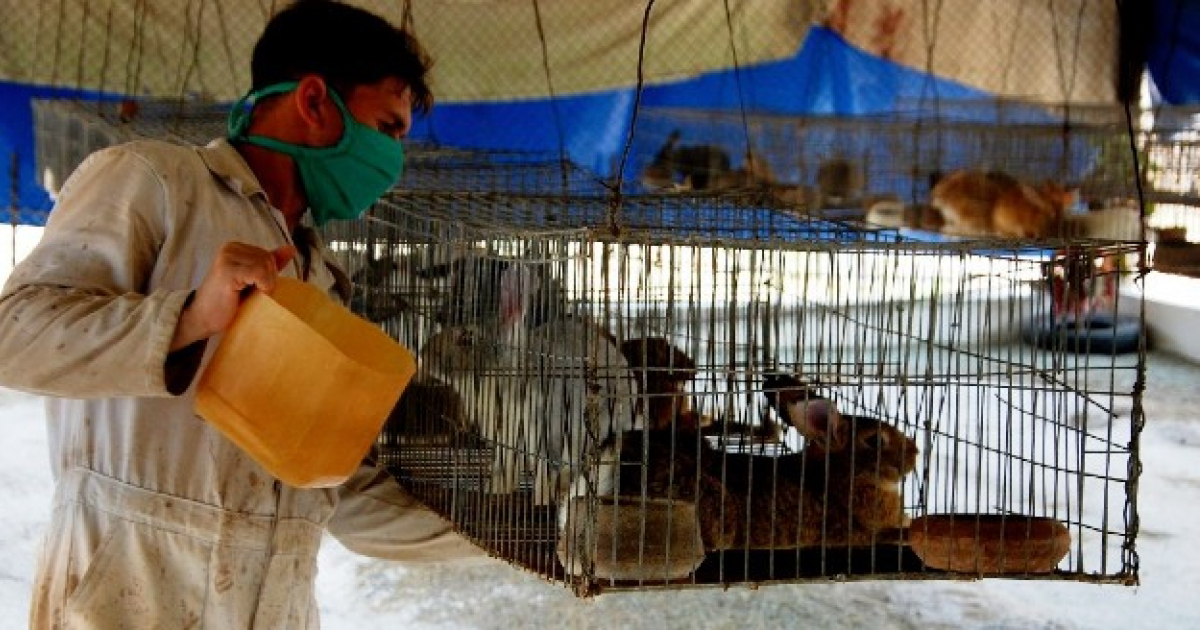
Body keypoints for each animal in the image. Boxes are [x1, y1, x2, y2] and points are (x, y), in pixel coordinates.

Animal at [417, 258, 633, 504]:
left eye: (467, 338)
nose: (423, 354)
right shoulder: (505, 441)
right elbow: (503, 471)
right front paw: (494, 493)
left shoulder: (547, 437)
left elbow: (544, 480)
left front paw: (540, 504)